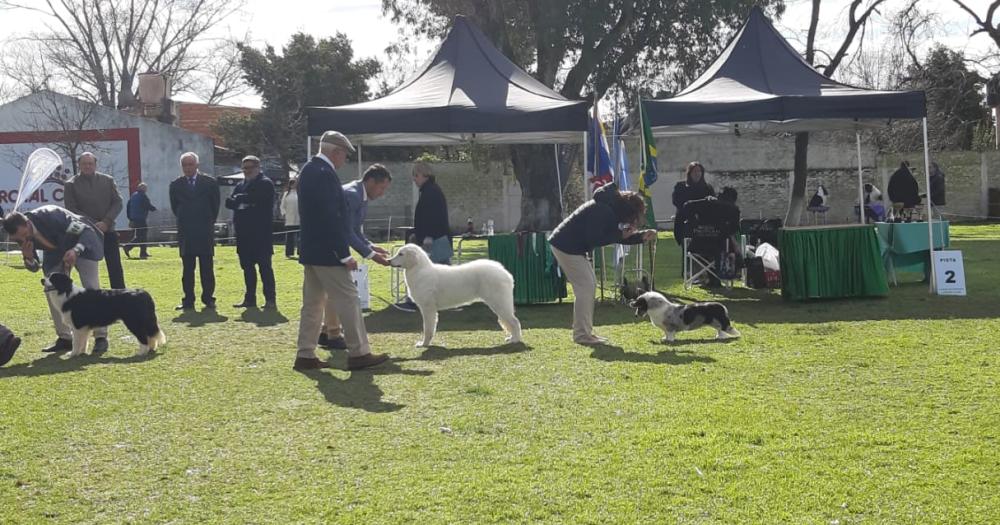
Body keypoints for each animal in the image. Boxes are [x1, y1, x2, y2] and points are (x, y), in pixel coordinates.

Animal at [388, 244, 524, 346]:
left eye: (401, 254)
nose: (388, 261)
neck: (419, 270)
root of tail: (506, 274)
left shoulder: (428, 308)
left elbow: (427, 329)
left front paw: (424, 344)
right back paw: (512, 338)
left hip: (499, 303)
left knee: (515, 321)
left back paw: (515, 340)